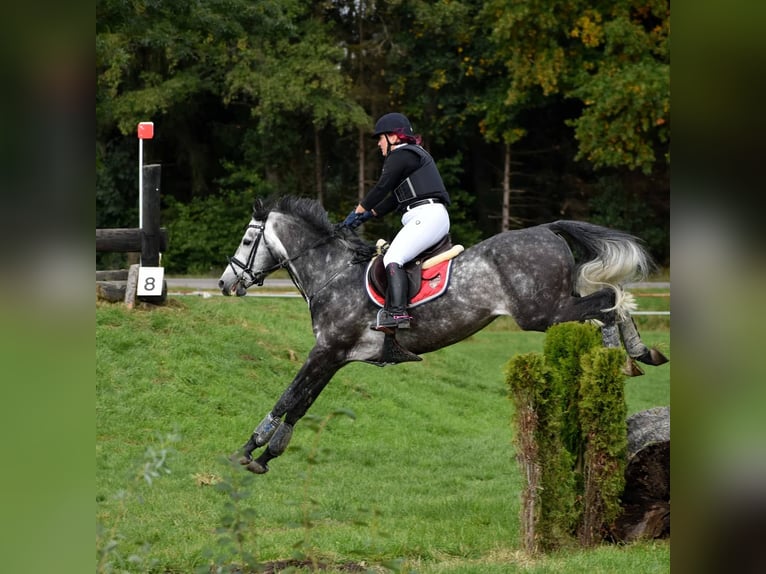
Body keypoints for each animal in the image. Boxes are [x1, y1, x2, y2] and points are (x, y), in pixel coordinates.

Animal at [219, 196, 668, 474]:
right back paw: (640, 353)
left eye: (247, 239)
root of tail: (548, 229)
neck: (332, 273)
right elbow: (300, 404)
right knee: (609, 300)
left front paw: (248, 449)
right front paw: (266, 454)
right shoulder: (335, 356)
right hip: (556, 306)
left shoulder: (326, 350)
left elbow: (288, 397)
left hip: (543, 313)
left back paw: (625, 358)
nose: (226, 283)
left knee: (610, 298)